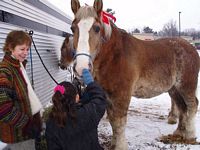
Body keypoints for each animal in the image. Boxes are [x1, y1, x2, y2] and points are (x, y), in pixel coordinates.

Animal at [59, 0, 200, 148]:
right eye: (72, 28)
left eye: (97, 28)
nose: (81, 67)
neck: (115, 55)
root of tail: (192, 48)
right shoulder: (107, 95)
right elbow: (113, 121)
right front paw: (114, 144)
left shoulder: (122, 94)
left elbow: (119, 122)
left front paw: (120, 146)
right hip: (174, 89)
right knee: (182, 107)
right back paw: (179, 133)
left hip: (186, 86)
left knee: (192, 105)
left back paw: (190, 136)